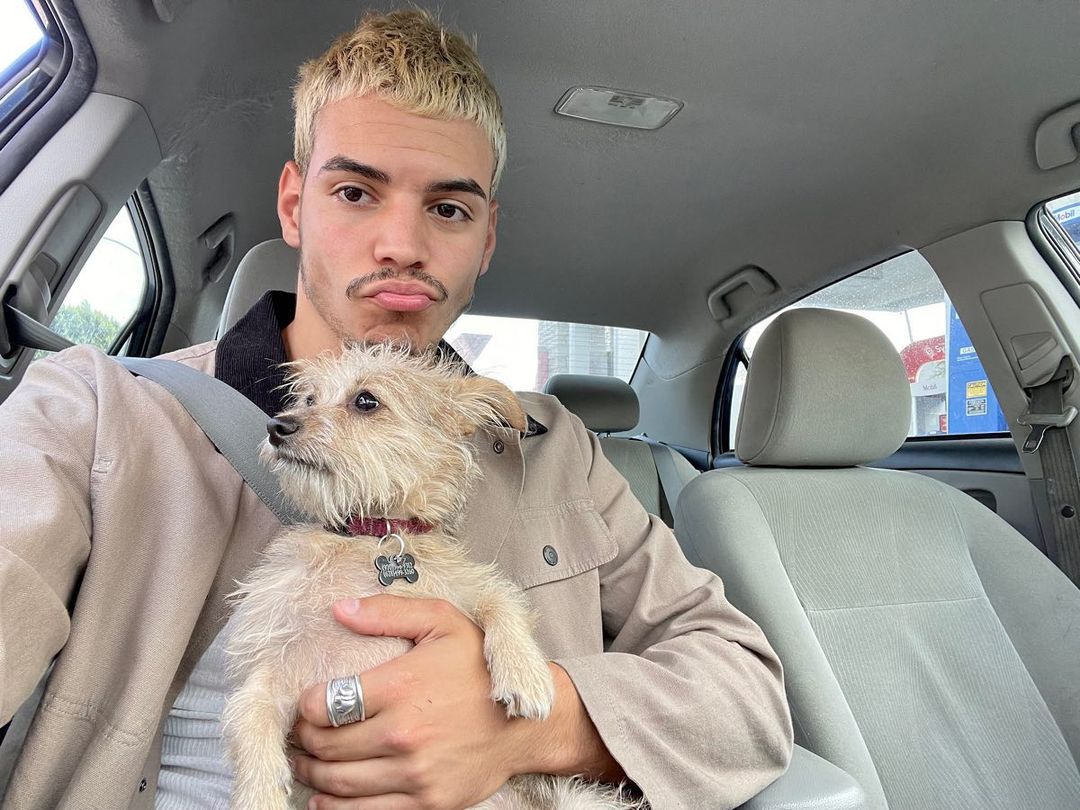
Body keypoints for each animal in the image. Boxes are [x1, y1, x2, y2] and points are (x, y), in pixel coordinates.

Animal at [222, 343, 640, 810]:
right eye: (308, 400)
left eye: (366, 400)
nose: (277, 425)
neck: (372, 536)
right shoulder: (273, 667)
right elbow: (250, 717)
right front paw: (260, 794)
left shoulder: (468, 586)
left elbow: (502, 602)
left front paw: (525, 674)